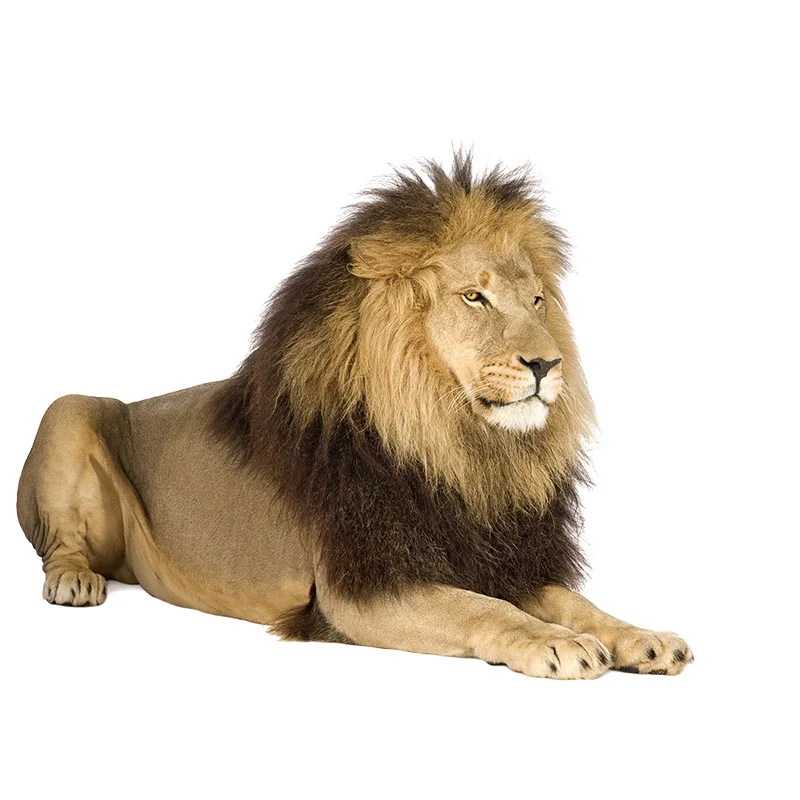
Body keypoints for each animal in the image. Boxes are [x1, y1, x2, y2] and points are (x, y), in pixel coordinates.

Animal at [17, 153, 692, 679]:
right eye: (474, 297)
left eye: (536, 301)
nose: (548, 364)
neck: (459, 448)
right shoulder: (356, 590)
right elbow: (484, 609)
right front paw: (556, 643)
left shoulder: (497, 557)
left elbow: (574, 600)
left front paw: (639, 637)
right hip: (67, 409)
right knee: (59, 544)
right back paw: (75, 581)